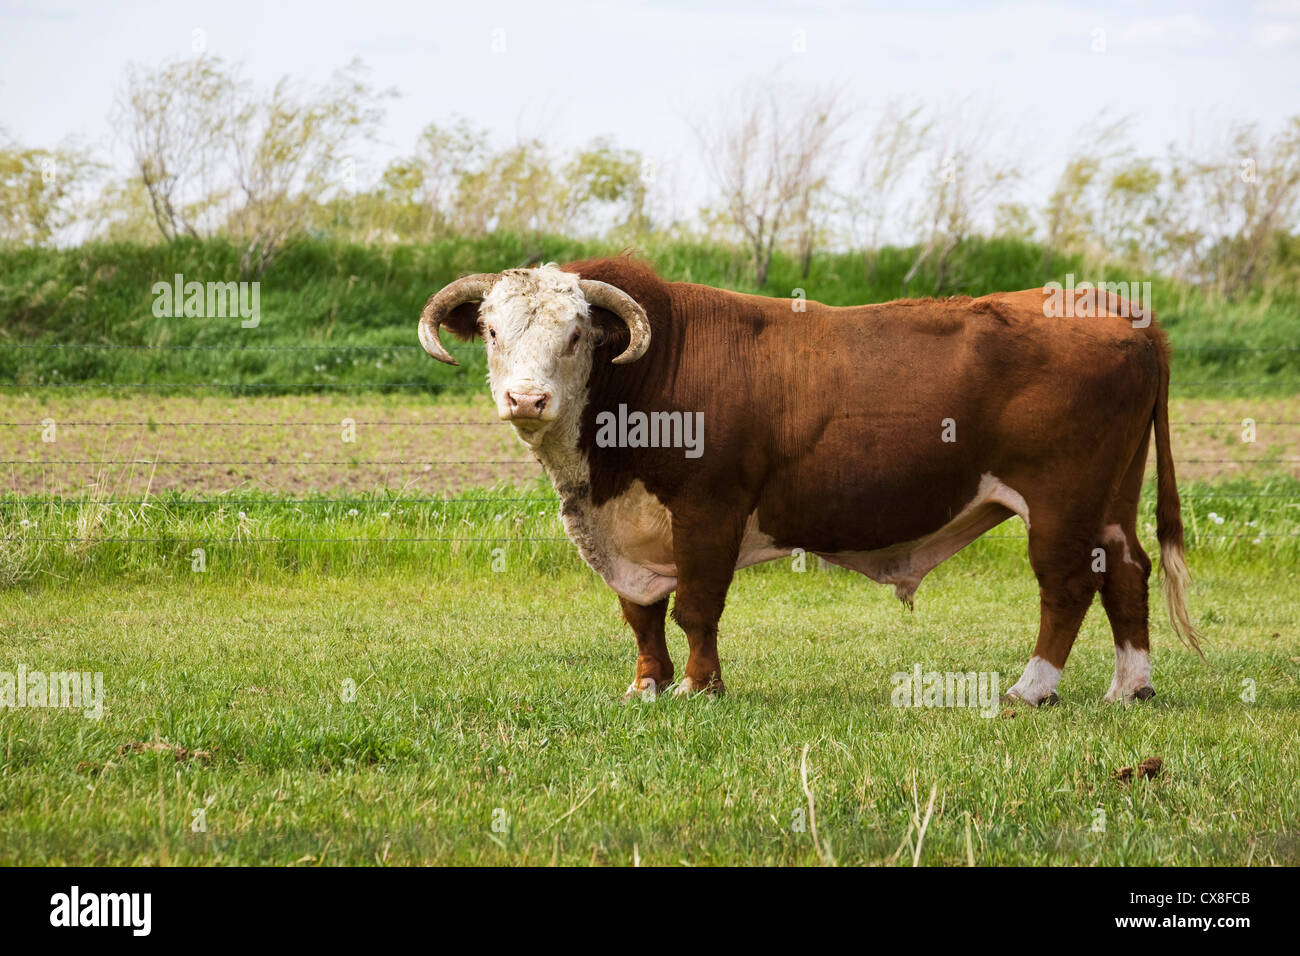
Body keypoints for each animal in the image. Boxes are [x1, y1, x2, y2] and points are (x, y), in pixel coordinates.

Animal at [416, 257, 1196, 707]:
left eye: (577, 334)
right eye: (492, 330)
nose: (526, 399)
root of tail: (1108, 307)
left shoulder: (711, 509)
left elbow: (695, 606)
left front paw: (700, 686)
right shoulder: (628, 533)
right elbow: (640, 611)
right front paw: (647, 684)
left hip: (1060, 499)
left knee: (1067, 582)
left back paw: (1032, 688)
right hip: (1111, 496)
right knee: (1126, 569)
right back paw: (1130, 687)